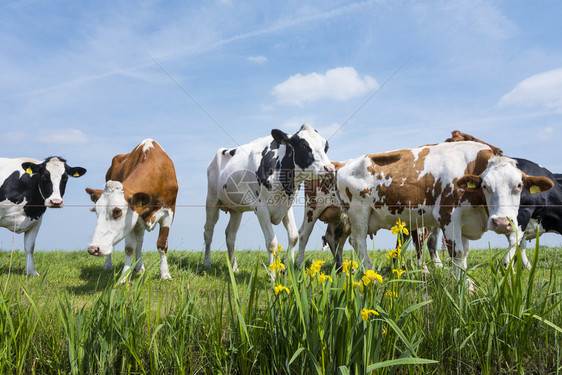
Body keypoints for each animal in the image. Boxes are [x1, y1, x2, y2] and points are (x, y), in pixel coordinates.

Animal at [85, 140, 177, 282]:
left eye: (117, 211)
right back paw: (109, 265)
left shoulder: (169, 212)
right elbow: (129, 248)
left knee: (139, 242)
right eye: (96, 211)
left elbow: (162, 244)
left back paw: (139, 267)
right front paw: (124, 276)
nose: (93, 248)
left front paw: (165, 274)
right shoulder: (133, 219)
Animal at [203, 125, 332, 272]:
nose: (329, 168)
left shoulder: (286, 205)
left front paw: (288, 267)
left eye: (326, 146)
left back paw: (233, 268)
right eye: (304, 145)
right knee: (208, 231)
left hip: (236, 210)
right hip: (211, 200)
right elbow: (271, 243)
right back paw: (207, 263)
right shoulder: (261, 208)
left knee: (230, 234)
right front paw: (273, 273)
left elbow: (293, 236)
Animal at [332, 141, 552, 288]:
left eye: (519, 185)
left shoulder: (465, 222)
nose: (501, 223)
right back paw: (371, 273)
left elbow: (465, 253)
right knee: (359, 242)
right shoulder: (448, 216)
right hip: (359, 211)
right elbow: (457, 252)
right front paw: (461, 288)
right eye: (485, 186)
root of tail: (346, 163)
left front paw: (467, 284)